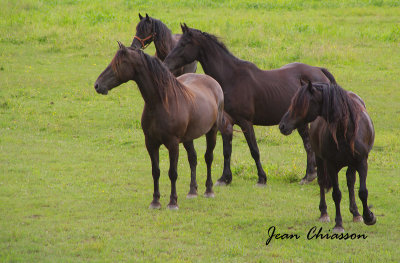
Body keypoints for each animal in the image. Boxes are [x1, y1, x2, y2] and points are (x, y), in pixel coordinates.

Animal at [93, 41, 225, 210]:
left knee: (208, 157)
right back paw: (192, 191)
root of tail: (213, 83)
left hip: (212, 131)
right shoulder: (151, 143)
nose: (97, 85)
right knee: (193, 158)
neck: (162, 102)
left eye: (120, 63)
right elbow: (155, 171)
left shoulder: (173, 144)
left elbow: (172, 173)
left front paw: (172, 202)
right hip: (188, 138)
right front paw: (155, 201)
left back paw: (209, 190)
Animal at [163, 23, 338, 187]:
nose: (166, 65)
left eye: (184, 44)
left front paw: (261, 178)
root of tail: (319, 71)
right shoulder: (226, 122)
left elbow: (254, 150)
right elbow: (227, 151)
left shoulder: (246, 122)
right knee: (308, 144)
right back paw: (309, 175)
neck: (231, 78)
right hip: (300, 122)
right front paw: (225, 178)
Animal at [280, 82, 376, 233]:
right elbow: (336, 194)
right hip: (320, 160)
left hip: (351, 164)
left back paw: (355, 213)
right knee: (321, 182)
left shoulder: (361, 162)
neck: (346, 130)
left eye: (299, 104)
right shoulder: (331, 165)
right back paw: (324, 213)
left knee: (350, 181)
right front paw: (338, 224)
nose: (282, 125)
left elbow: (362, 192)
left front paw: (369, 217)